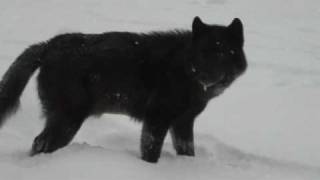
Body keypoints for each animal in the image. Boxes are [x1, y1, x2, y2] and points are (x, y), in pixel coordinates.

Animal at [0, 17, 248, 163]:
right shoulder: (157, 119)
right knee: (39, 143)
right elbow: (151, 153)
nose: (205, 76)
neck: (183, 68)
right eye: (203, 53)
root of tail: (48, 45)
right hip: (68, 120)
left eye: (223, 52)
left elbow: (188, 151)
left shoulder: (183, 123)